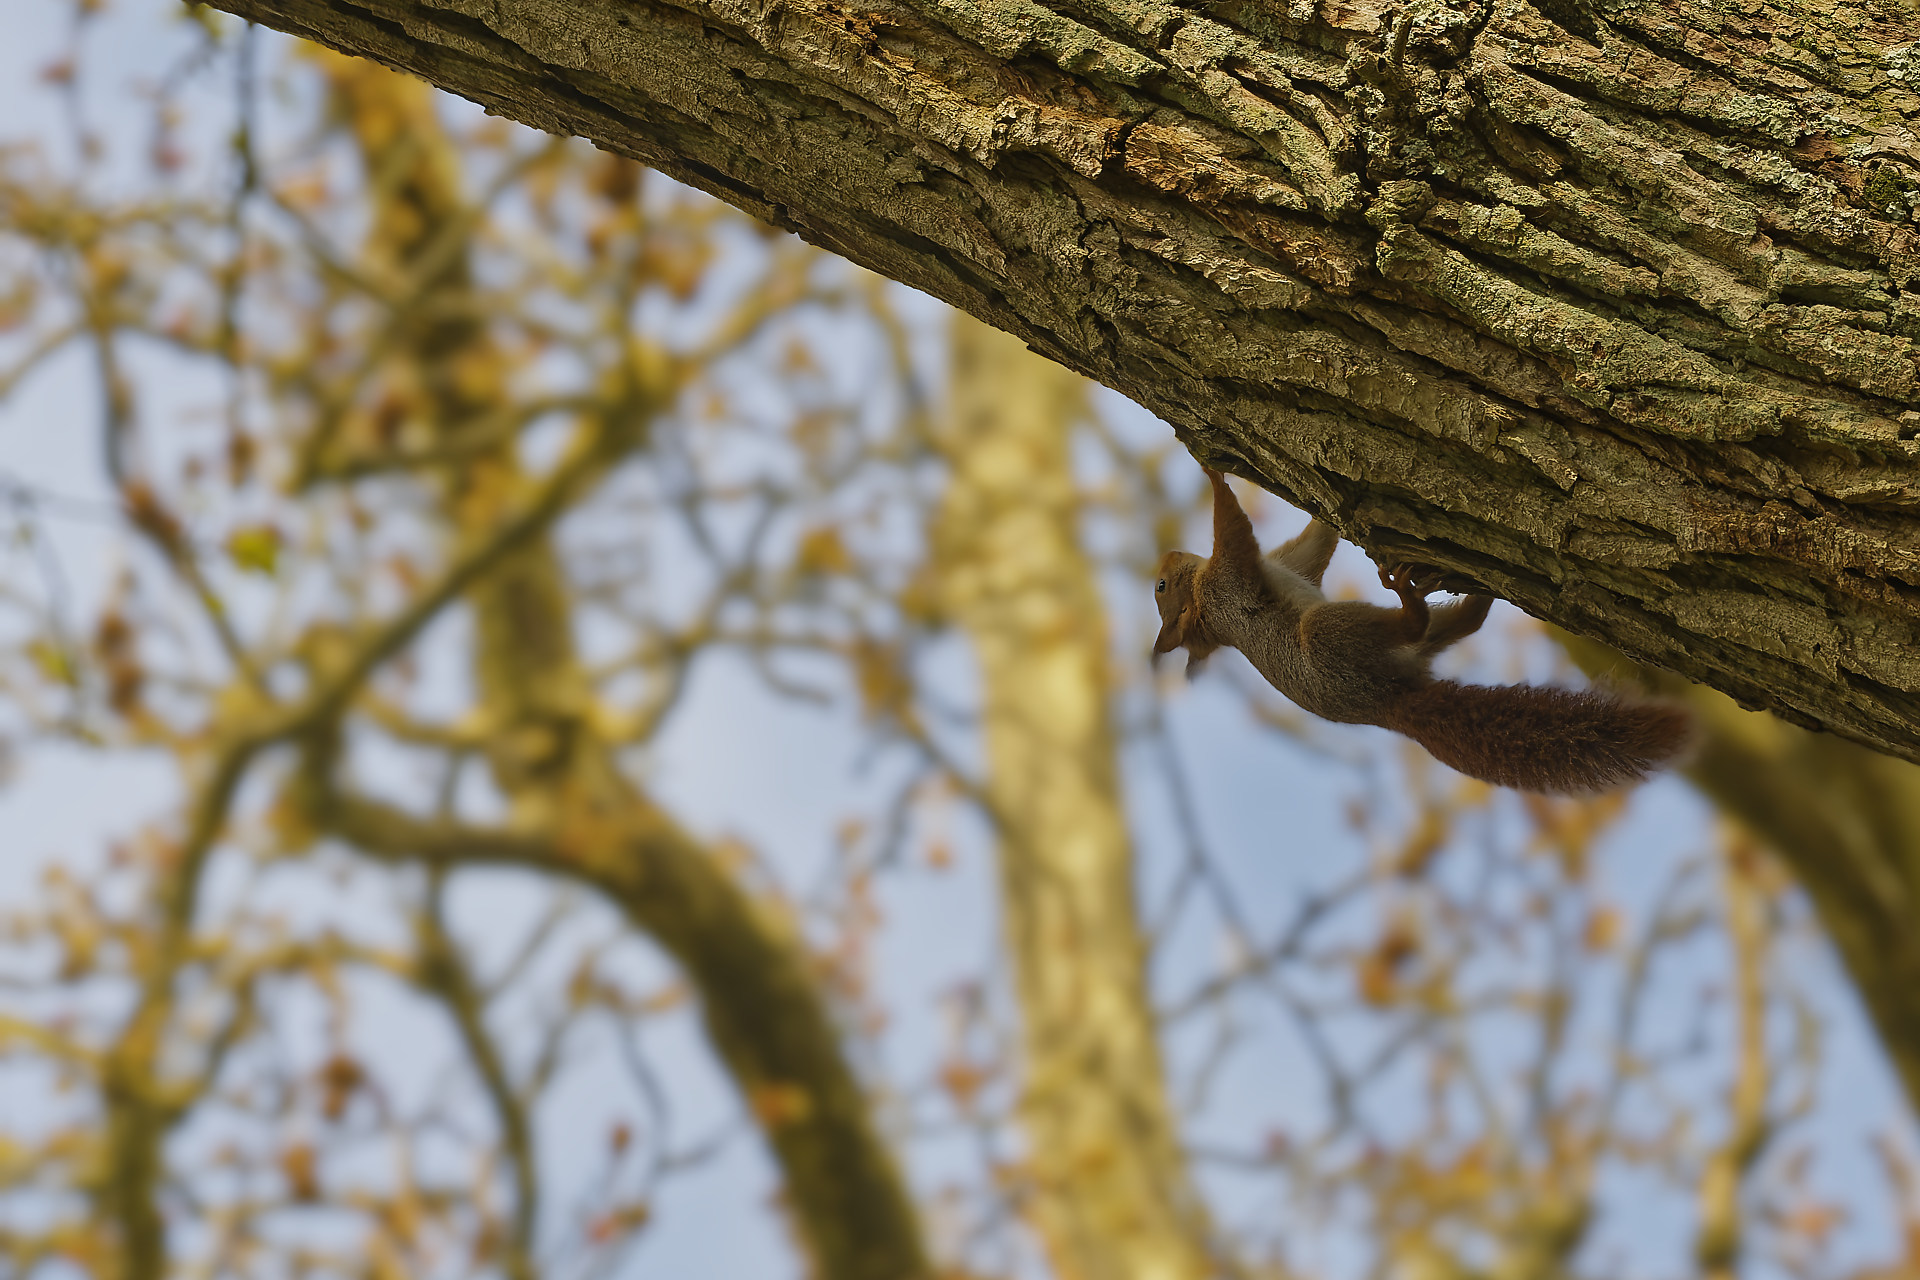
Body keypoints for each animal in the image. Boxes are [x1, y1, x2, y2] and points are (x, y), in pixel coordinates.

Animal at [1152, 467, 1693, 794]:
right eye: (1160, 585)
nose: (1169, 555)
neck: (1202, 597)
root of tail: (1391, 701)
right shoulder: (1230, 581)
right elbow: (1233, 529)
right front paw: (1210, 467)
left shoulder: (1287, 565)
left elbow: (1313, 545)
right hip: (1330, 638)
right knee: (1412, 624)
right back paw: (1414, 598)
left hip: (1409, 645)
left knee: (1450, 626)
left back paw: (1475, 597)